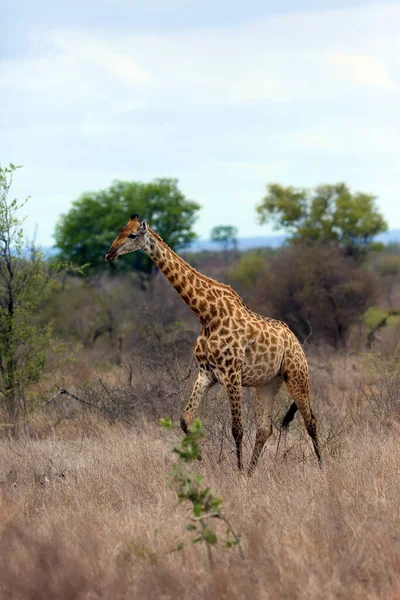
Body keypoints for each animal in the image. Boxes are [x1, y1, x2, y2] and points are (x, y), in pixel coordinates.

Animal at [104, 216, 322, 474]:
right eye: (120, 231)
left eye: (132, 235)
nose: (109, 253)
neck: (206, 315)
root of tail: (295, 340)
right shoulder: (206, 374)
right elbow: (185, 419)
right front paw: (201, 460)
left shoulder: (232, 374)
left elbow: (237, 428)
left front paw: (237, 472)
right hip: (267, 383)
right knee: (264, 429)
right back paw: (252, 471)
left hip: (297, 374)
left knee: (310, 421)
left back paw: (321, 467)